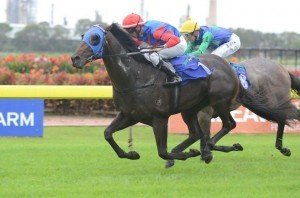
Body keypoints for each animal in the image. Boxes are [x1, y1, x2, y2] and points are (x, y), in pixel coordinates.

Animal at [70, 23, 296, 165]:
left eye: (95, 38)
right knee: (196, 133)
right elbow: (107, 133)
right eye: (83, 36)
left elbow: (162, 151)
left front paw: (194, 154)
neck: (136, 76)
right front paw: (131, 153)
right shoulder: (129, 115)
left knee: (230, 124)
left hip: (219, 102)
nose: (75, 58)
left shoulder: (159, 118)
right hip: (191, 109)